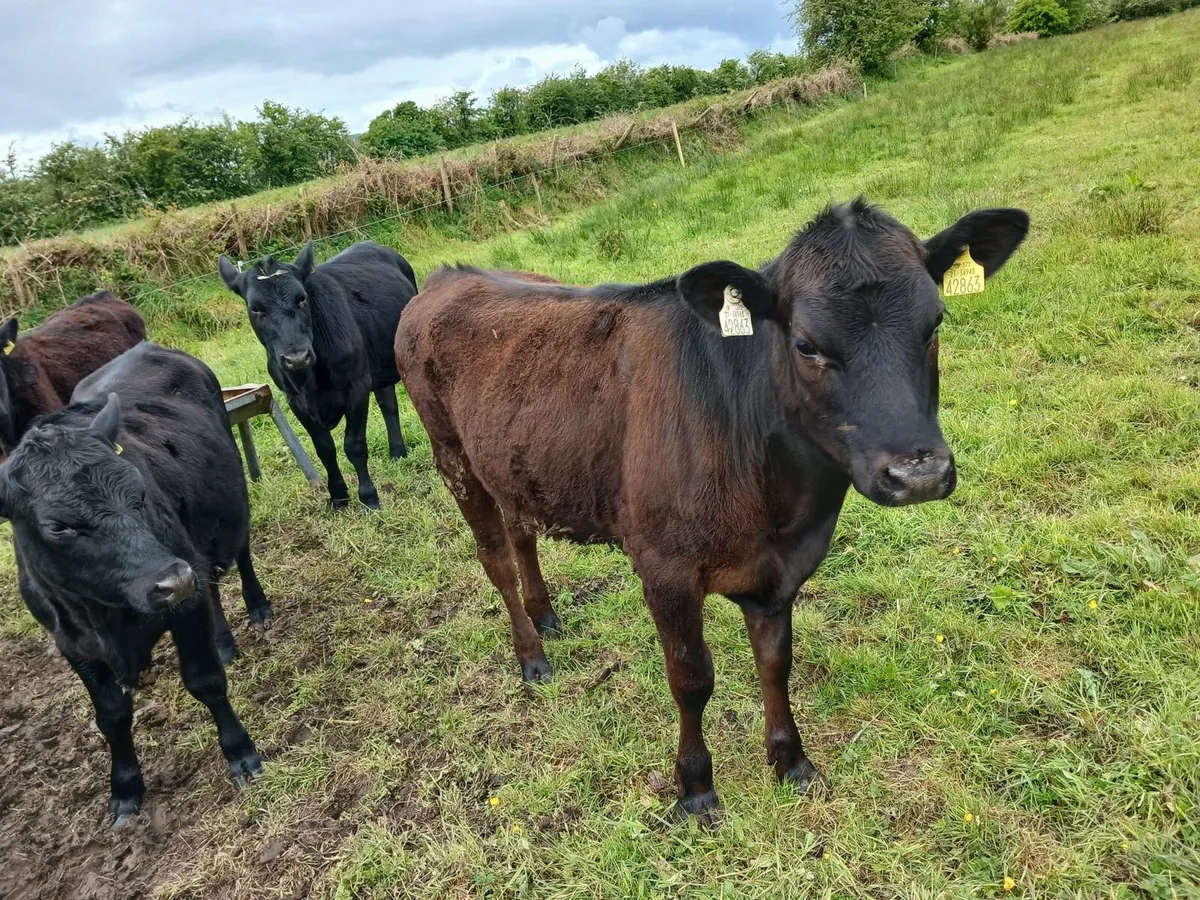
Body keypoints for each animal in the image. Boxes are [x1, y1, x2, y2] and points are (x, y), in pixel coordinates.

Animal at [0, 342, 271, 822]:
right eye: (56, 526)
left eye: (138, 489)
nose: (172, 580)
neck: (106, 615)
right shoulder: (71, 643)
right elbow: (110, 716)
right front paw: (125, 788)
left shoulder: (185, 605)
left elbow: (205, 680)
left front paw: (241, 752)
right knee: (210, 585)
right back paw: (223, 640)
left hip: (228, 502)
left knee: (237, 556)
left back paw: (256, 608)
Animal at [218, 240, 418, 509]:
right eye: (256, 308)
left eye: (301, 299)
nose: (296, 357)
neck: (310, 380)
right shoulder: (295, 400)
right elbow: (325, 449)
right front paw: (339, 497)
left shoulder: (357, 386)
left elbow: (354, 445)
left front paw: (368, 497)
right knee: (388, 403)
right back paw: (397, 453)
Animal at [395, 199, 1030, 820]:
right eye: (806, 345)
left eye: (936, 323)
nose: (917, 473)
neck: (780, 508)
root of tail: (448, 275)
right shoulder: (664, 568)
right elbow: (691, 678)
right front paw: (695, 787)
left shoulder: (781, 570)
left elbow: (776, 662)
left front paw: (791, 761)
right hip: (452, 457)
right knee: (496, 558)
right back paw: (532, 656)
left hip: (512, 462)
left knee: (522, 532)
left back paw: (546, 614)